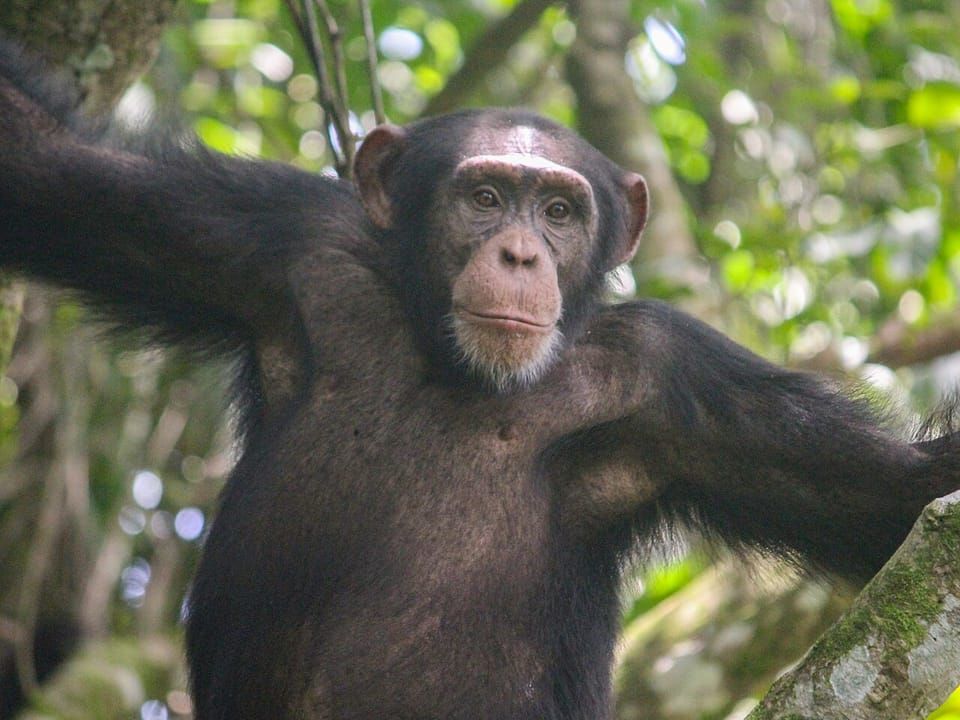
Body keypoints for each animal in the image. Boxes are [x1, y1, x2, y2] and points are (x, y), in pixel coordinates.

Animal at [0, 39, 957, 720]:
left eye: (560, 211)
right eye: (487, 198)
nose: (522, 253)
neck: (454, 367)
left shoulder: (677, 380)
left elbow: (880, 495)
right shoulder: (271, 237)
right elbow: (50, 172)